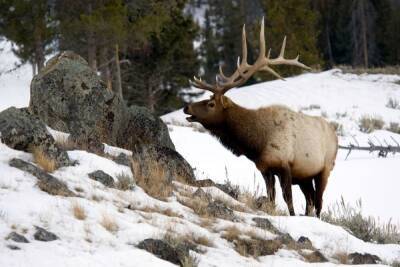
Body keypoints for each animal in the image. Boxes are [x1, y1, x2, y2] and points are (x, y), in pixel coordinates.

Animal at [184, 18, 338, 217]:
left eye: (211, 104)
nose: (186, 107)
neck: (256, 143)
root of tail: (336, 135)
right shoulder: (265, 168)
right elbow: (271, 198)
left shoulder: (284, 165)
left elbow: (288, 199)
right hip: (305, 176)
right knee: (310, 200)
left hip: (325, 169)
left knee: (318, 202)